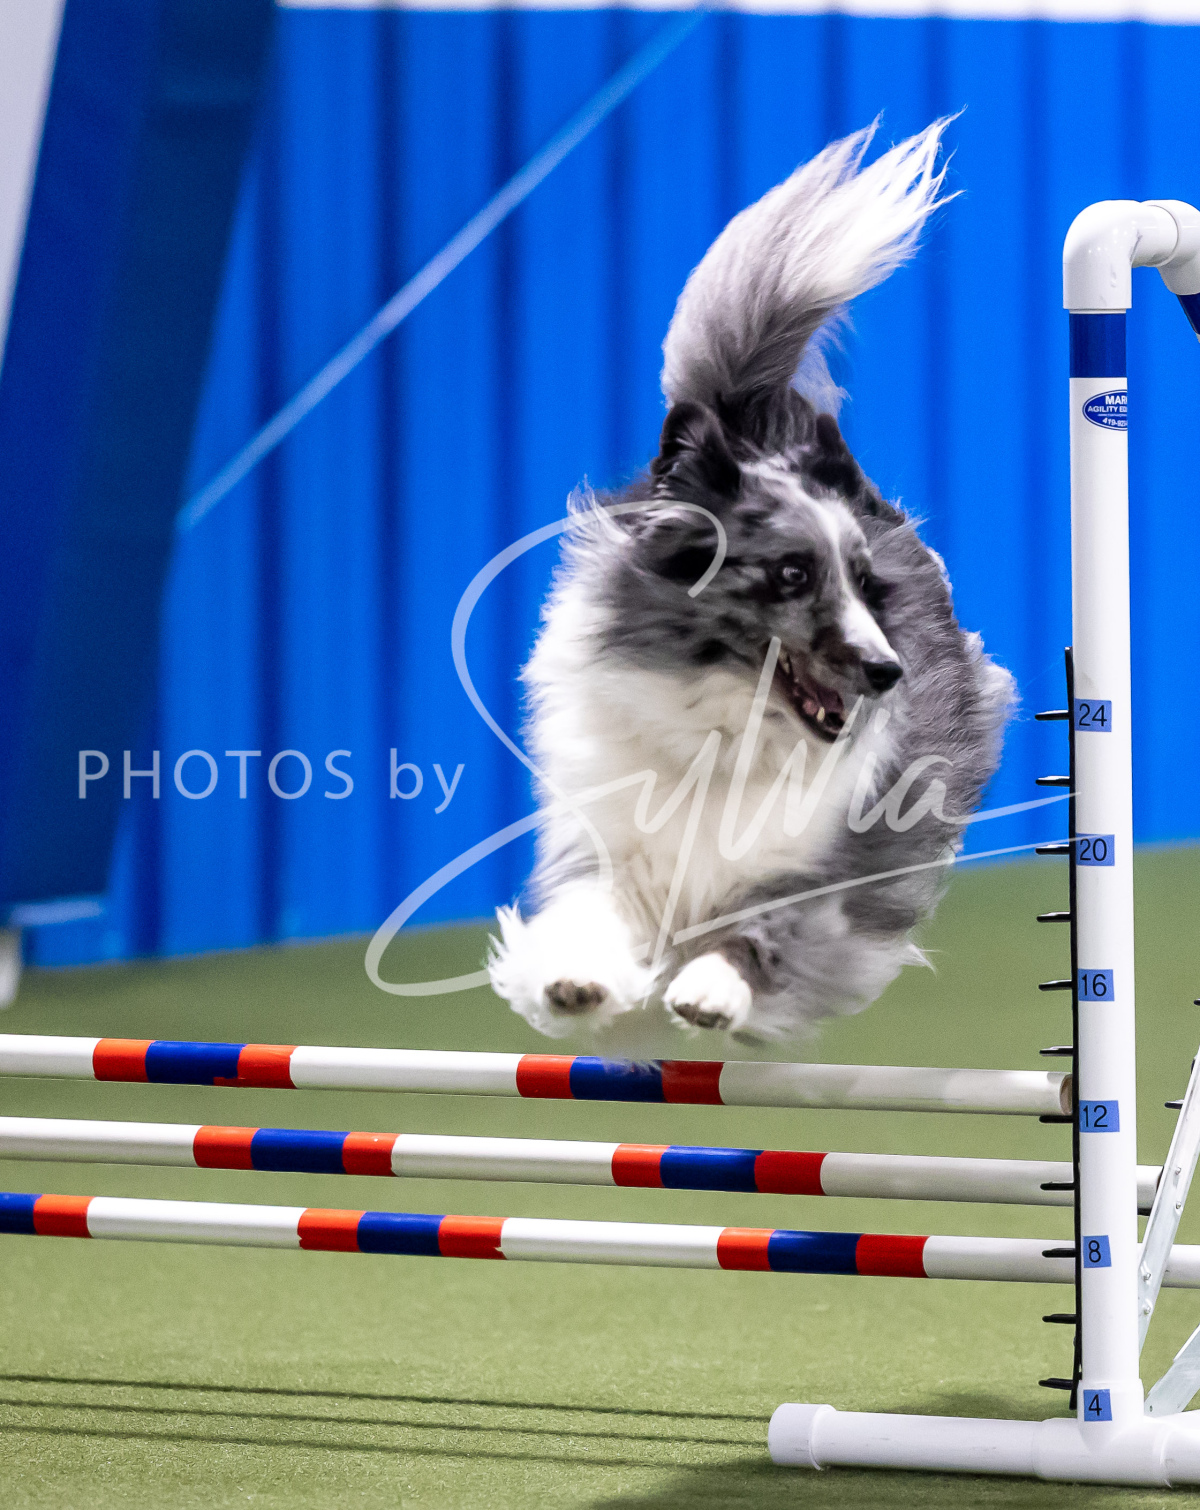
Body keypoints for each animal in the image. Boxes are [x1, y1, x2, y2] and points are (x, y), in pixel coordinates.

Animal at [488, 119, 1014, 1042]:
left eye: (866, 583)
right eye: (792, 574)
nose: (887, 672)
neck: (725, 728)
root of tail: (753, 423)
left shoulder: (831, 868)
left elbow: (767, 927)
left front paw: (709, 990)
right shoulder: (612, 840)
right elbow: (593, 911)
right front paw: (576, 982)